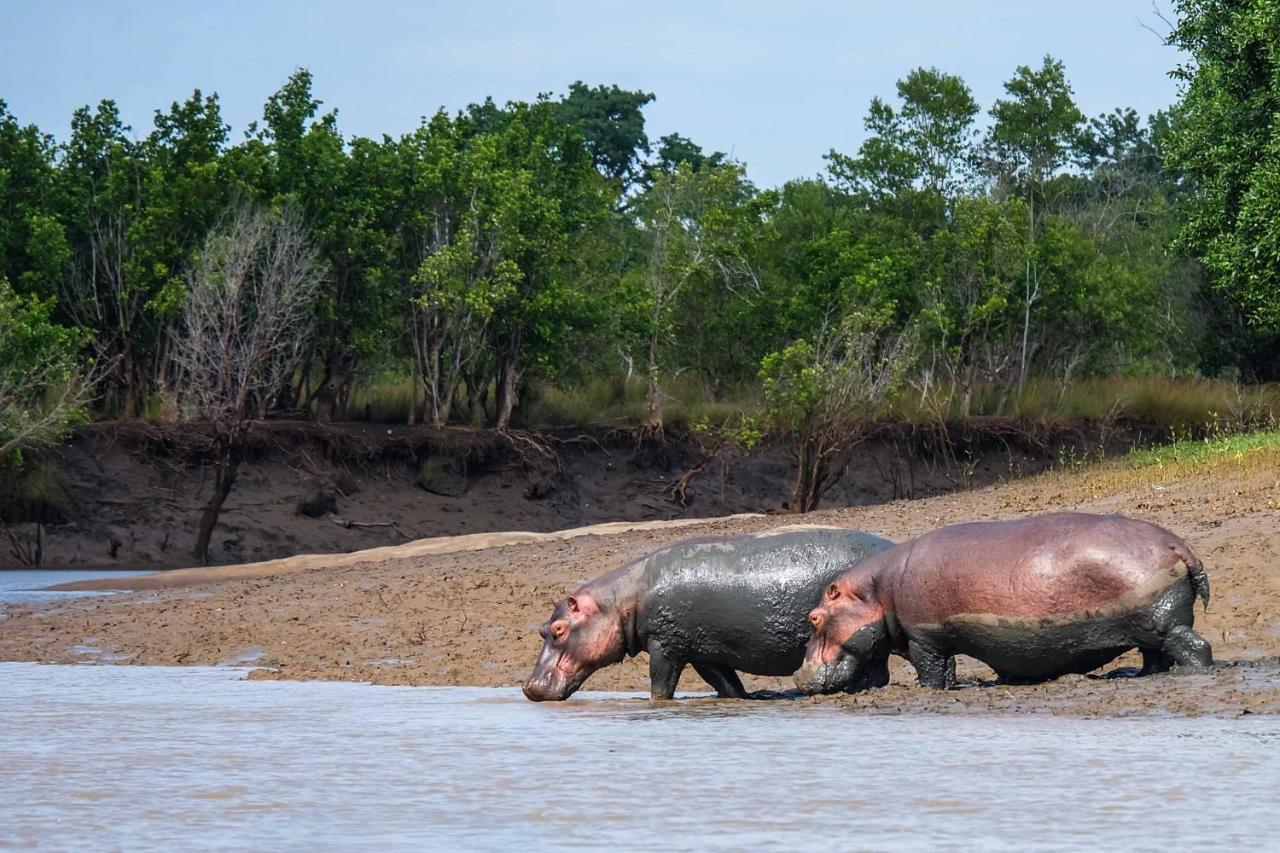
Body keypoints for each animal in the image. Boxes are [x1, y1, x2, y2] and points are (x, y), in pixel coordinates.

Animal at [519, 525, 890, 696]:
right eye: (541, 629)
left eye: (558, 630)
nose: (528, 686)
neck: (619, 602)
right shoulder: (704, 652)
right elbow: (727, 684)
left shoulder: (666, 646)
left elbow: (660, 685)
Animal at [793, 512, 1213, 691]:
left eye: (813, 618)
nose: (797, 675)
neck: (879, 589)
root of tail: (1179, 544)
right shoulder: (935, 639)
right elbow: (946, 670)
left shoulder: (923, 636)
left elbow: (929, 669)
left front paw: (923, 689)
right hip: (1148, 625)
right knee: (1154, 654)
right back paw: (1144, 676)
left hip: (1164, 622)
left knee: (1195, 645)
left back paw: (1188, 674)